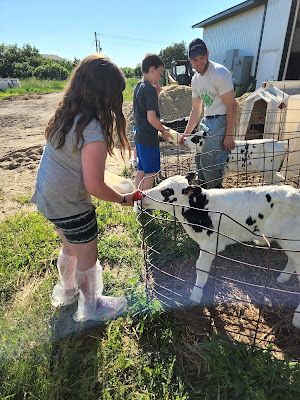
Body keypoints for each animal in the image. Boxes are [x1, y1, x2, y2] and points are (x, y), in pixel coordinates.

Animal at [141, 174, 300, 328]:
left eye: (167, 191)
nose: (142, 195)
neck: (201, 209)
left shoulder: (209, 244)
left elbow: (201, 268)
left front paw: (196, 296)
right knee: (291, 260)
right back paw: (282, 278)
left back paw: (296, 318)